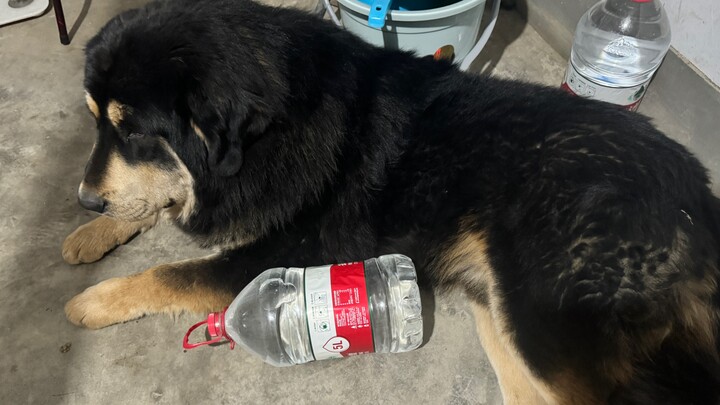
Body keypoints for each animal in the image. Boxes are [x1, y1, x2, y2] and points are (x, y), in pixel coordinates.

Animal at [62, 0, 720, 400]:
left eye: (134, 131)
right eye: (96, 123)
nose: (85, 200)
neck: (274, 130)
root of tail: (697, 194)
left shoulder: (286, 252)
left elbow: (170, 272)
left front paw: (94, 300)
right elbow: (151, 203)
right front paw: (92, 231)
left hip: (545, 320)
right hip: (499, 311)